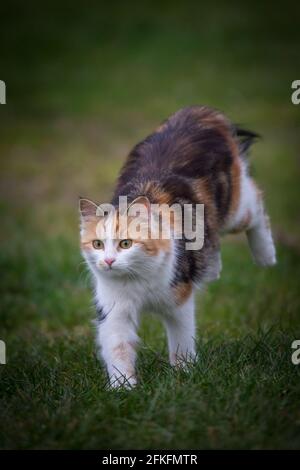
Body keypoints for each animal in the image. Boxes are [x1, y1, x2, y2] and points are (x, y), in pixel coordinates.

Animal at [79, 106, 276, 390]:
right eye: (97, 244)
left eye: (126, 243)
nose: (107, 262)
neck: (138, 280)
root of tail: (195, 111)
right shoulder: (114, 309)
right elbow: (118, 348)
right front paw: (123, 389)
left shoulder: (179, 299)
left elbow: (182, 341)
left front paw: (185, 375)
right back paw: (213, 268)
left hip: (232, 208)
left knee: (256, 200)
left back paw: (266, 256)